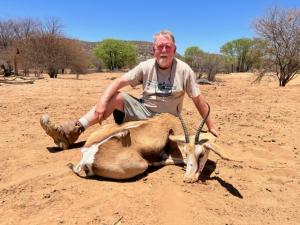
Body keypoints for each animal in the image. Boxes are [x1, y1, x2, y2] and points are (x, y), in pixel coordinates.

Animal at [69, 104, 233, 182]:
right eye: (187, 152)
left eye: (201, 154)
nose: (188, 178)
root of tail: (87, 158)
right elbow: (181, 161)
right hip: (142, 165)